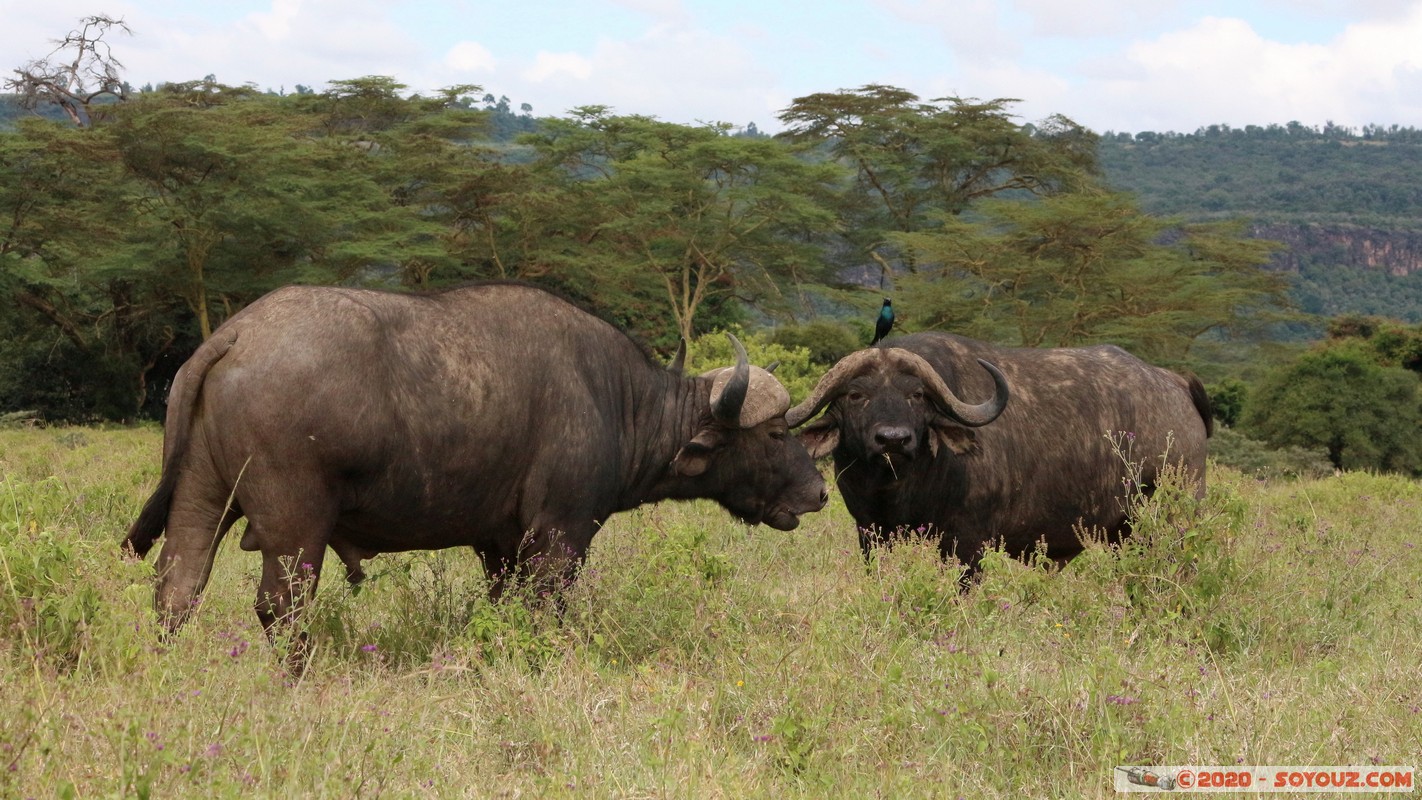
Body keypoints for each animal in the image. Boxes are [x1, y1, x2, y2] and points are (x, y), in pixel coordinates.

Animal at [125, 283, 827, 656]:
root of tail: (238, 332)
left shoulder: (499, 544)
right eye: (774, 433)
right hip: (296, 526)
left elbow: (503, 606)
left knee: (176, 591)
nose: (819, 491)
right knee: (280, 607)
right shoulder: (559, 537)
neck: (614, 398)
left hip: (201, 498)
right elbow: (547, 610)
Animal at [787, 332, 1212, 574]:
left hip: (1167, 524)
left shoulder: (967, 543)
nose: (893, 440)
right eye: (856, 395)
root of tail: (1175, 383)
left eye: (917, 395)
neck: (898, 489)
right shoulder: (870, 533)